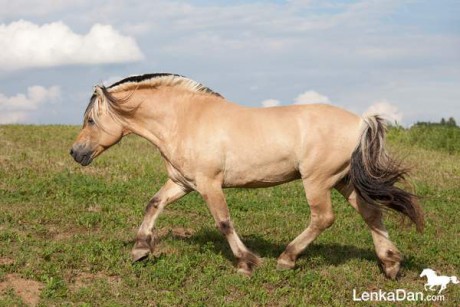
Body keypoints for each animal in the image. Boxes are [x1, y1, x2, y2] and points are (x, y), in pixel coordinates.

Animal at [71, 73, 424, 280]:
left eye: (90, 120)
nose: (76, 153)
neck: (185, 119)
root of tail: (361, 121)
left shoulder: (209, 184)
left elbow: (224, 222)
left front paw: (247, 262)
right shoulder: (183, 183)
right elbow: (153, 204)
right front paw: (141, 250)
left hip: (318, 181)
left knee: (323, 218)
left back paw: (286, 259)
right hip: (343, 180)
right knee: (371, 213)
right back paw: (390, 264)